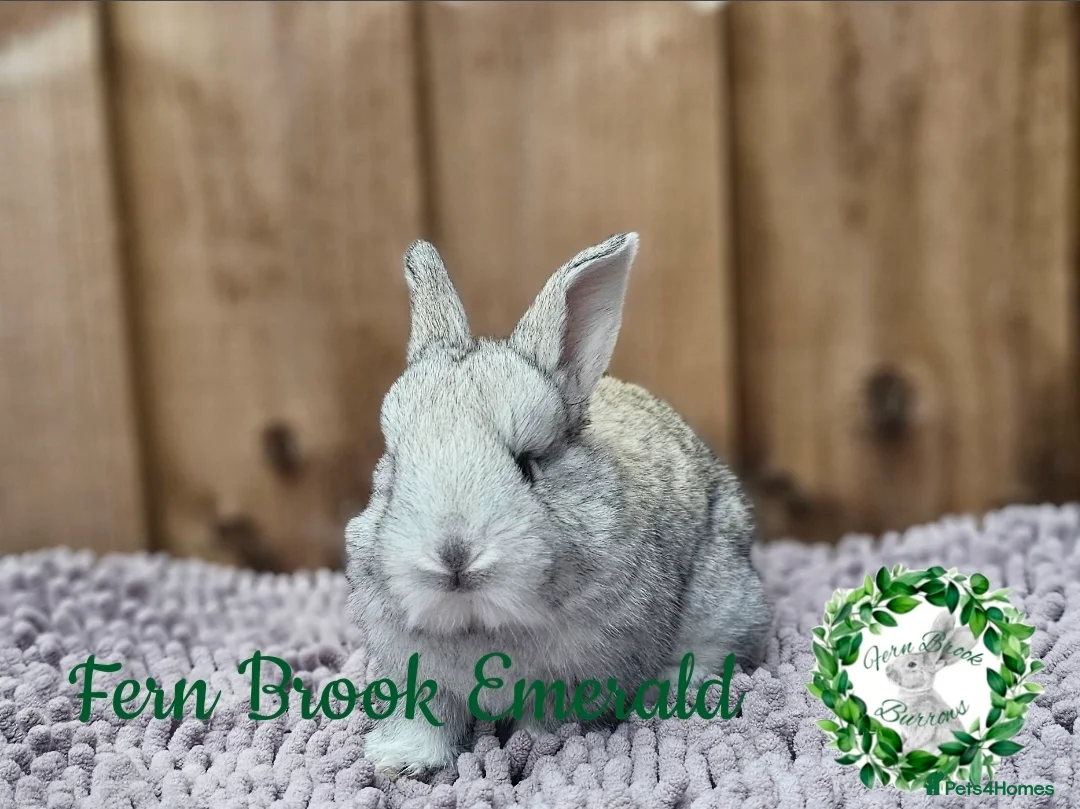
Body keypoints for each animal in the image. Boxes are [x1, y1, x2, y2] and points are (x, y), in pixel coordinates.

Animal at [345, 232, 772, 778]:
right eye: (396, 468)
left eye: (528, 465)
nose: (454, 556)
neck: (480, 623)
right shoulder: (415, 673)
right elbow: (430, 720)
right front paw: (399, 762)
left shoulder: (577, 676)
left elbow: (545, 717)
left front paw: (535, 747)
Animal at [885, 609, 978, 753]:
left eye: (911, 664)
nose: (887, 670)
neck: (917, 693)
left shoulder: (925, 722)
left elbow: (918, 739)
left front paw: (904, 751)